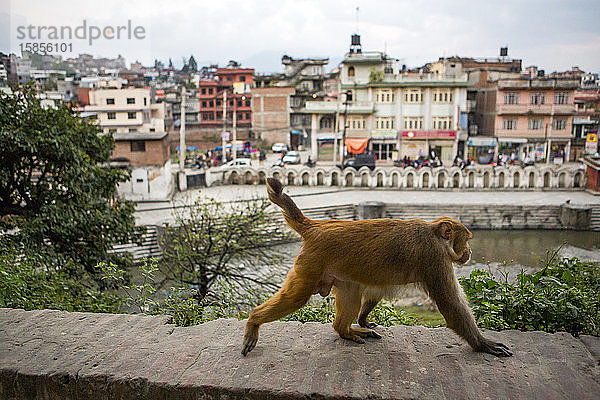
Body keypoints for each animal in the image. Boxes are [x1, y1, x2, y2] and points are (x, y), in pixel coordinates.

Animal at [241, 178, 512, 356]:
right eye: (466, 240)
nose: (469, 252)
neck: (434, 234)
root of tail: (316, 226)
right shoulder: (434, 258)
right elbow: (451, 304)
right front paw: (483, 344)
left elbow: (375, 290)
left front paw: (363, 319)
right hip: (311, 264)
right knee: (295, 298)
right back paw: (254, 320)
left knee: (351, 294)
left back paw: (345, 330)